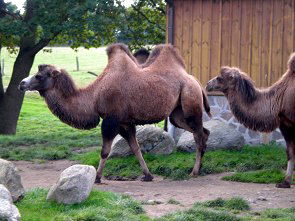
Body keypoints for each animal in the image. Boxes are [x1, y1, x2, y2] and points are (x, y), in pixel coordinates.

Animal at [18, 43, 212, 183]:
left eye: (39, 76)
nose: (21, 83)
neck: (93, 97)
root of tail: (195, 80)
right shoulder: (125, 122)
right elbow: (135, 147)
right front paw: (147, 175)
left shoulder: (111, 119)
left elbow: (105, 150)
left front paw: (97, 178)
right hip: (177, 113)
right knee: (203, 132)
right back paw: (200, 167)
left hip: (190, 100)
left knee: (198, 134)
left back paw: (194, 171)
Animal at [207, 52, 295, 187]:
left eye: (219, 78)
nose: (207, 84)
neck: (279, 100)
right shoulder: (286, 124)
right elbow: (290, 152)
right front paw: (285, 182)